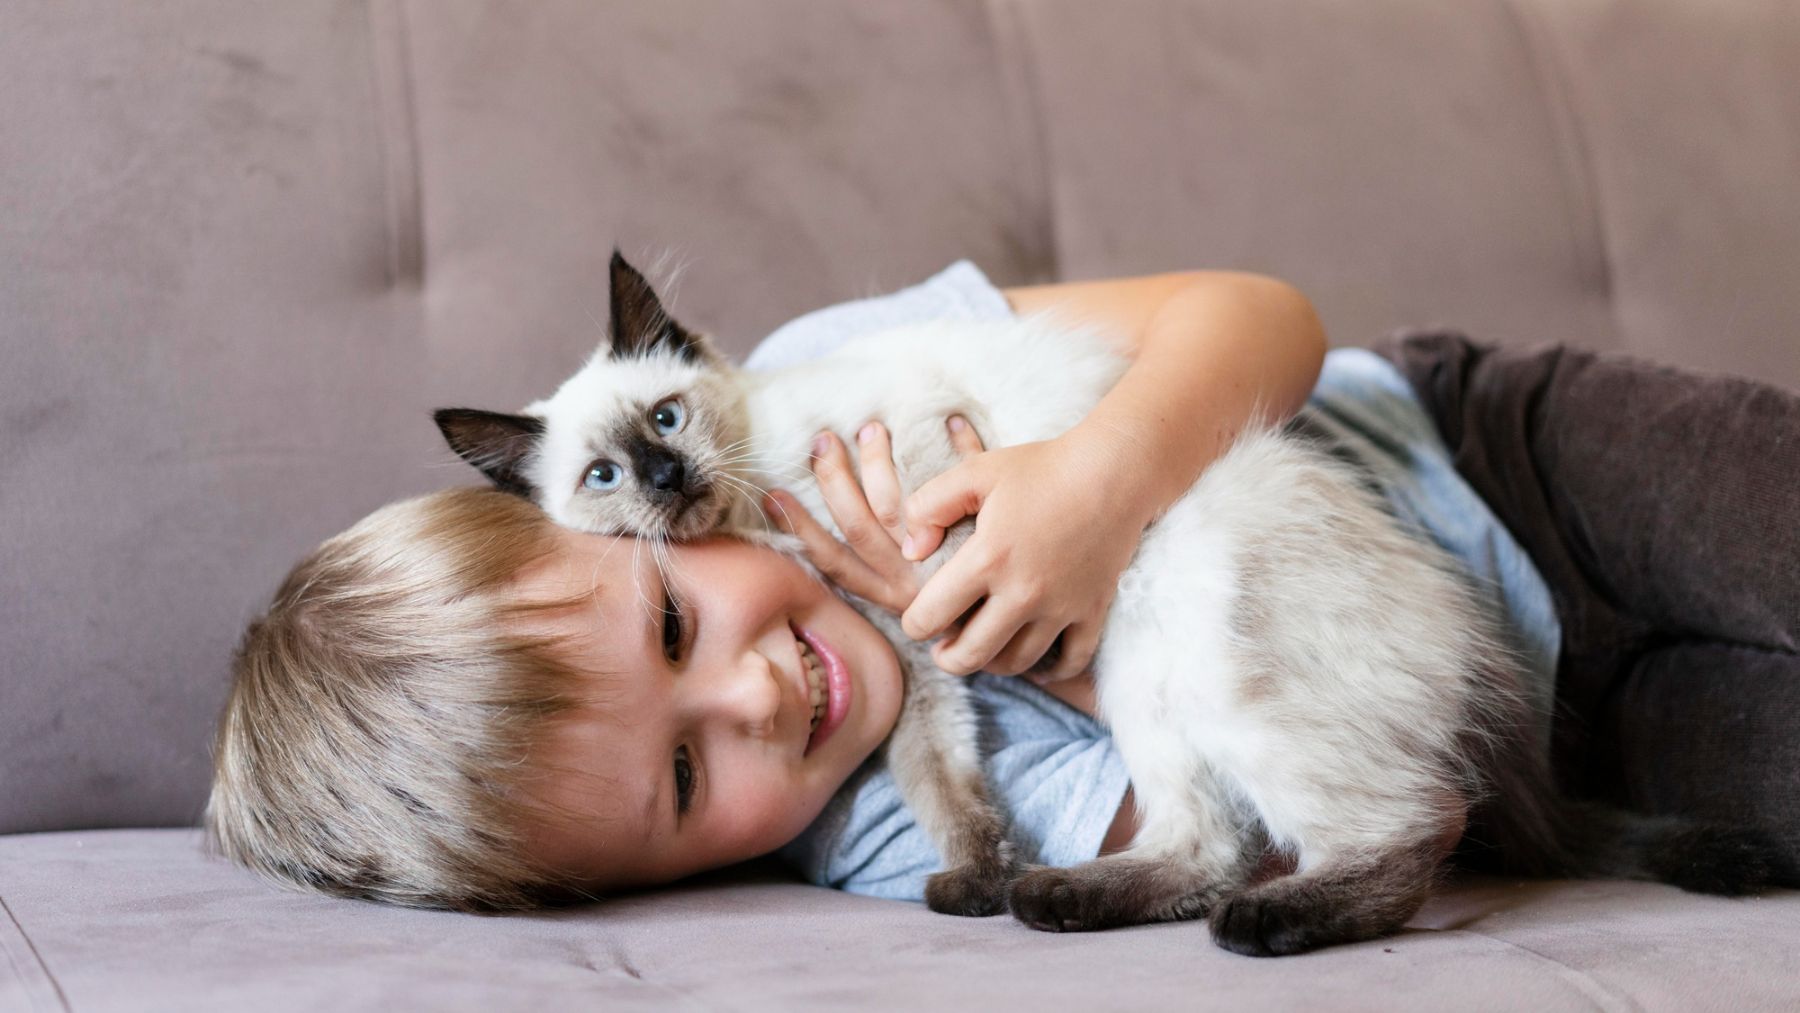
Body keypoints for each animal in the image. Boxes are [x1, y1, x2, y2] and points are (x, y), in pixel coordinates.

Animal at [439, 253, 1785, 957]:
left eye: (665, 420)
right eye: (603, 478)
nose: (667, 481)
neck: (762, 509)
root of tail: (1474, 641)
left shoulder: (918, 555)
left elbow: (949, 566)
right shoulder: (912, 658)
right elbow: (950, 784)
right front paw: (977, 883)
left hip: (1183, 638)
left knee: (1410, 824)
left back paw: (1259, 927)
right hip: (1153, 685)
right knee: (1215, 841)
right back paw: (1059, 897)